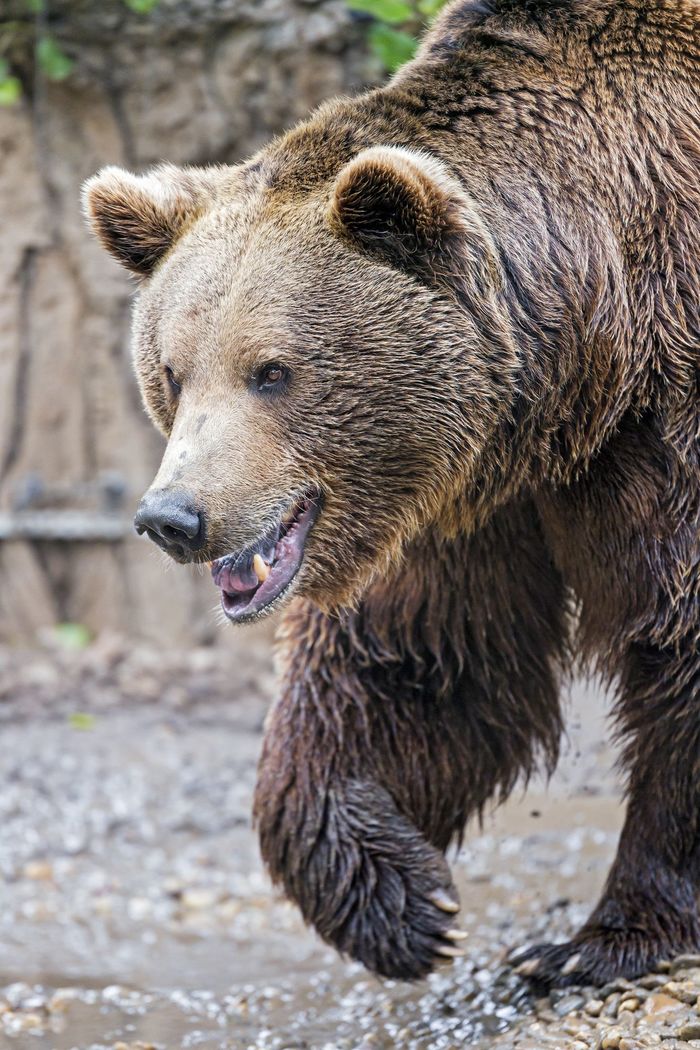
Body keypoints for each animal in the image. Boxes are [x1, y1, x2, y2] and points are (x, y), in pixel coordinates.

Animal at [85, 0, 700, 982]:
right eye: (173, 373)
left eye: (272, 371)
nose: (173, 517)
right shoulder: (453, 488)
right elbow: (417, 660)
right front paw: (402, 904)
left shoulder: (656, 426)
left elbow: (675, 631)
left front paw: (600, 940)